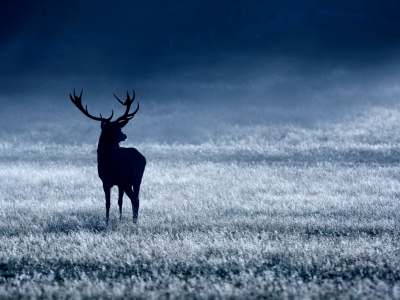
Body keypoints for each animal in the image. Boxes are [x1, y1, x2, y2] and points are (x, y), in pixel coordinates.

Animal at [69, 89, 146, 225]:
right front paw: (120, 218)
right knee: (137, 198)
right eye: (119, 129)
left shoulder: (106, 180)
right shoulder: (119, 184)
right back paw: (135, 220)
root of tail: (141, 159)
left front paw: (107, 221)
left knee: (134, 199)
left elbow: (108, 203)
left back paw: (134, 221)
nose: (125, 135)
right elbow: (120, 201)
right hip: (138, 179)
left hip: (126, 179)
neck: (103, 151)